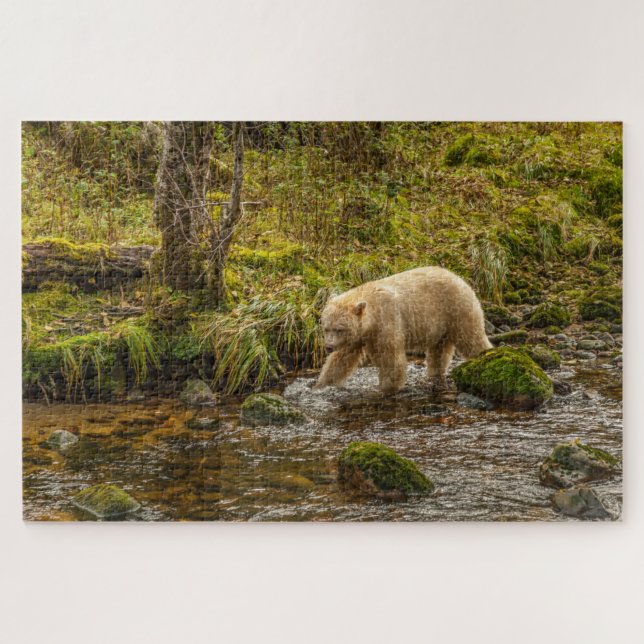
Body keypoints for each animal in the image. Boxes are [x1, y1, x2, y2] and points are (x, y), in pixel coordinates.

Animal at [313, 266, 492, 394]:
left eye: (339, 329)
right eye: (326, 328)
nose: (328, 347)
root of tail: (460, 278)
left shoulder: (386, 321)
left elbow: (391, 359)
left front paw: (386, 388)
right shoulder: (358, 336)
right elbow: (341, 360)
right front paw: (322, 385)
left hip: (457, 310)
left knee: (471, 338)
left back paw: (485, 357)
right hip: (441, 326)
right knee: (439, 351)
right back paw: (435, 374)